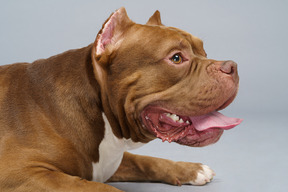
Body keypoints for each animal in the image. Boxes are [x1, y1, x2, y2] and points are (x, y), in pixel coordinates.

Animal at [0, 7, 242, 192]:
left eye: (204, 51)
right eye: (176, 58)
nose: (232, 66)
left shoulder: (109, 161)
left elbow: (143, 161)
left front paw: (189, 169)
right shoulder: (21, 174)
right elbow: (100, 188)